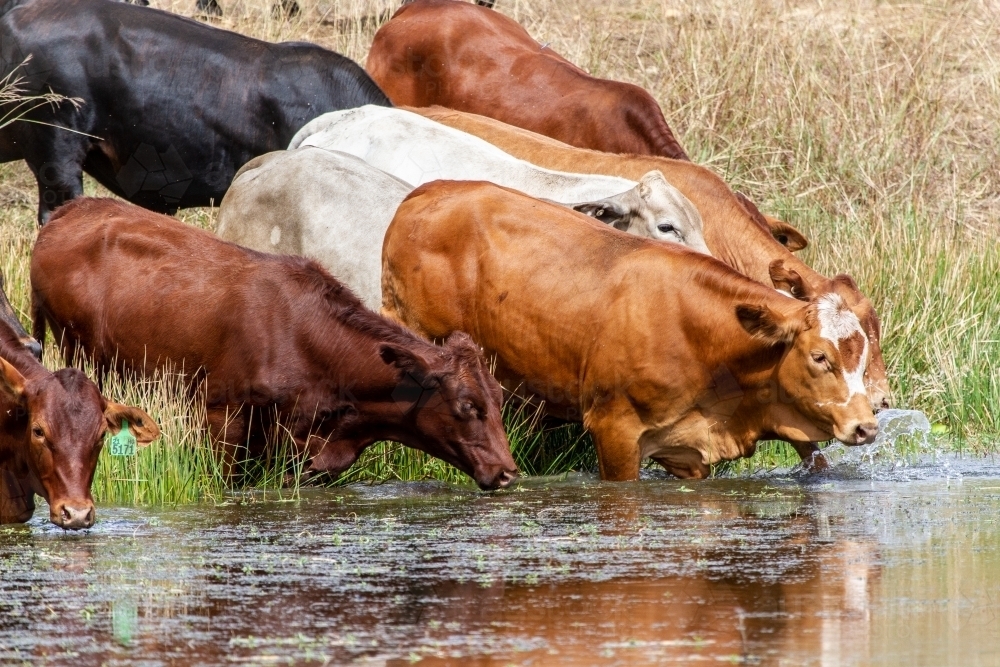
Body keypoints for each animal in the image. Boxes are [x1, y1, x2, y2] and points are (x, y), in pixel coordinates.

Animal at [31, 198, 516, 490]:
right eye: (468, 405)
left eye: (499, 398)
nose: (508, 472)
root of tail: (72, 209)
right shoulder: (220, 417)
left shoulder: (306, 457)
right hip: (77, 348)